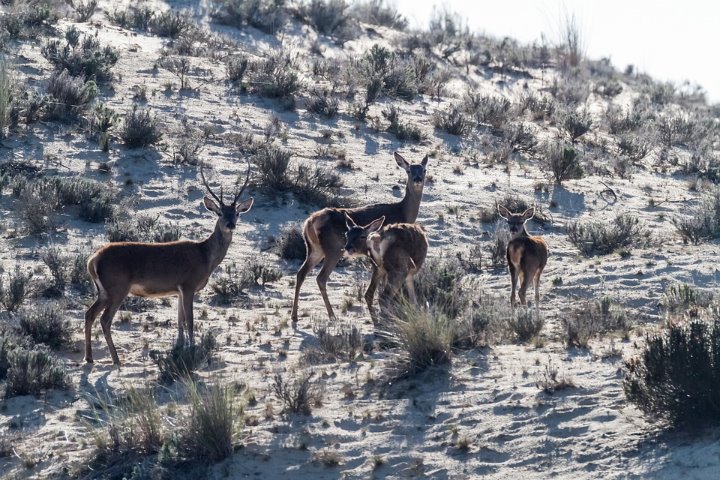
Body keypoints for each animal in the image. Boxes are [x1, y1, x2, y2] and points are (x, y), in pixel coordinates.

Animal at [84, 162, 255, 364]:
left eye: (236, 213)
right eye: (220, 213)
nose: (230, 224)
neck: (205, 257)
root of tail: (93, 260)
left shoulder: (179, 289)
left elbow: (180, 321)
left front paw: (180, 348)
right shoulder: (188, 284)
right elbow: (190, 321)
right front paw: (192, 350)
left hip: (103, 291)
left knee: (89, 314)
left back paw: (89, 357)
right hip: (117, 287)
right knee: (105, 319)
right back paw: (116, 359)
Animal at [290, 151, 428, 322]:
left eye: (424, 170)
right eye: (409, 170)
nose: (417, 179)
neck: (402, 211)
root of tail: (310, 221)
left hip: (314, 249)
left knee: (301, 273)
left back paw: (295, 315)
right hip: (333, 249)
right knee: (321, 278)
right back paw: (332, 315)